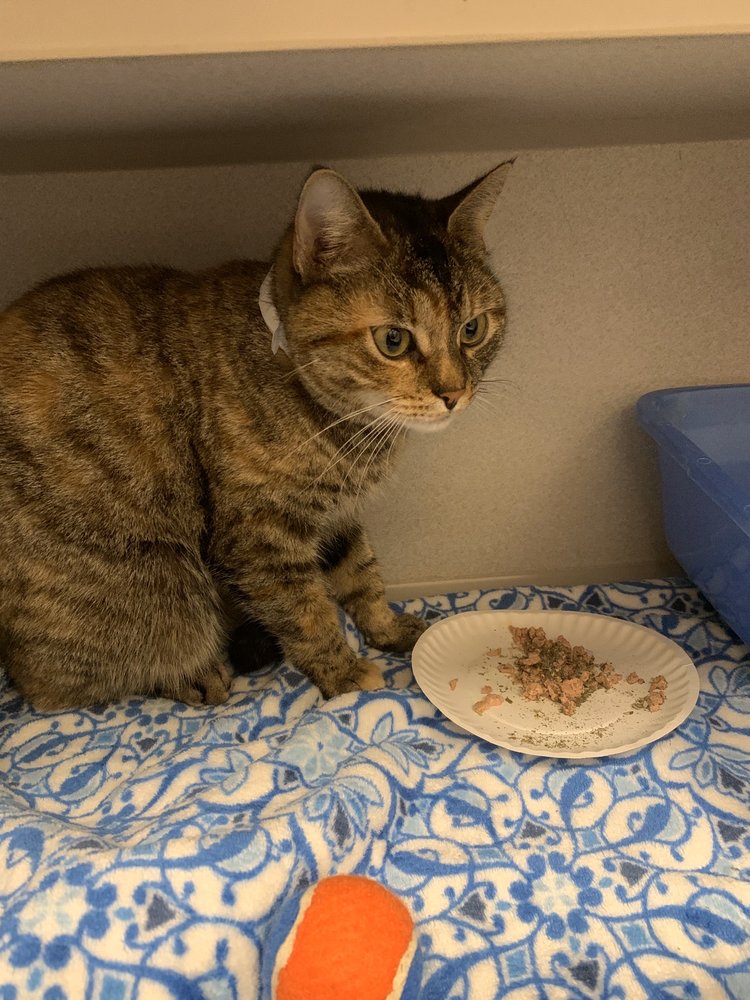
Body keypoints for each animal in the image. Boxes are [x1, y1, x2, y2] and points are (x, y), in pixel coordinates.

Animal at [0, 161, 513, 711]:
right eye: (393, 340)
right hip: (161, 590)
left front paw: (388, 629)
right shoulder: (260, 533)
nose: (454, 393)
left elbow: (363, 575)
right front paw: (345, 674)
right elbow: (307, 611)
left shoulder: (336, 515)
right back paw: (191, 676)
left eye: (472, 329)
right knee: (58, 687)